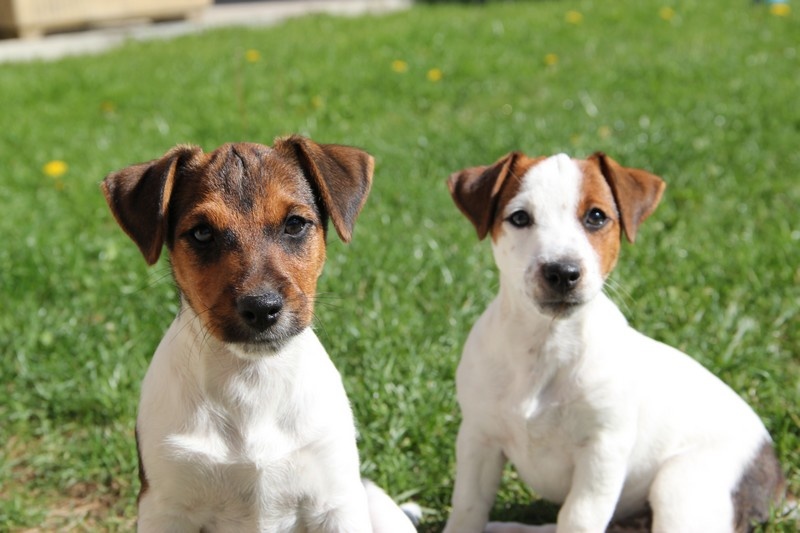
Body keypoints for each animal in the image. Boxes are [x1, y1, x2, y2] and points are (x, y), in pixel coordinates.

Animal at [103, 136, 418, 532]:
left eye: (295, 224)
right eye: (202, 233)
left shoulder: (336, 503)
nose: (262, 308)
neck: (252, 380)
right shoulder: (165, 507)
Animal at [440, 151, 784, 532]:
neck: (546, 345)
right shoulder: (478, 437)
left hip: (682, 486)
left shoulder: (602, 451)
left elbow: (578, 518)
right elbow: (469, 507)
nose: (562, 272)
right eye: (519, 217)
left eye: (596, 216)